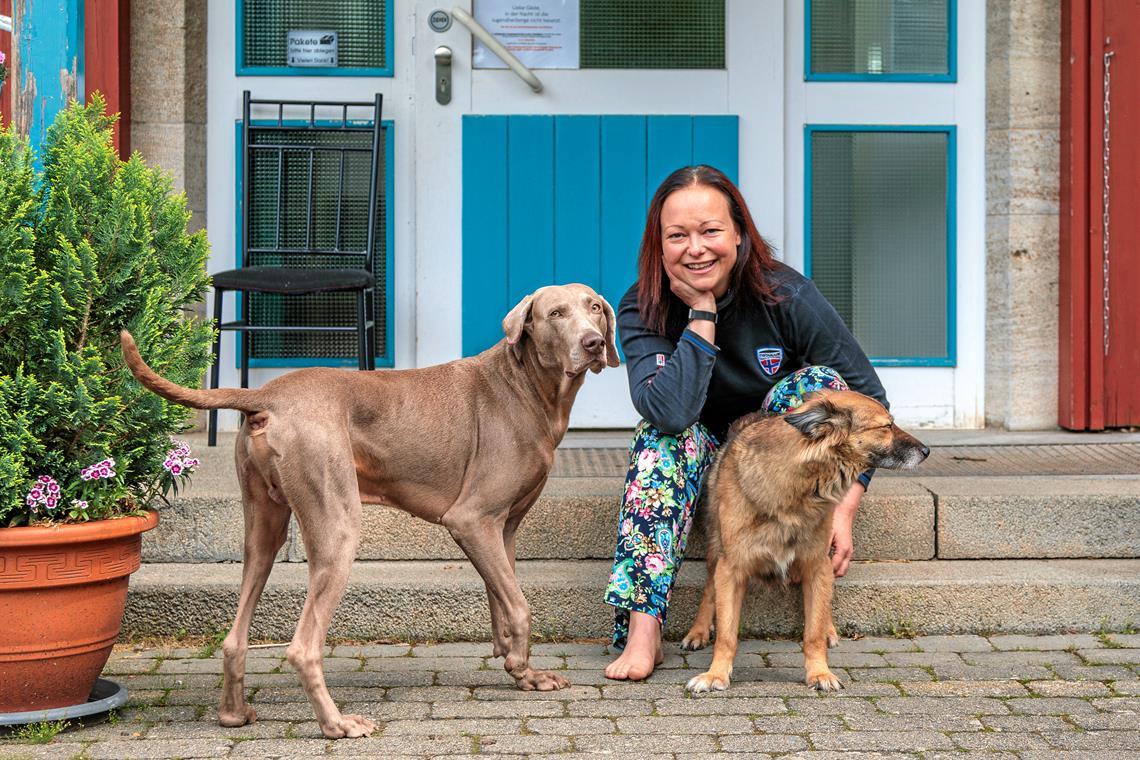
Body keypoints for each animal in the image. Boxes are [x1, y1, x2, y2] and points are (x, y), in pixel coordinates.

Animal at [121, 284, 620, 738]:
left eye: (595, 307)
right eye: (556, 313)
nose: (594, 342)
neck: (527, 385)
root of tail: (267, 396)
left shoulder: (505, 528)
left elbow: (502, 600)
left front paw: (523, 673)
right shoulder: (472, 520)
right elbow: (519, 605)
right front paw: (520, 666)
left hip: (263, 526)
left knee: (235, 632)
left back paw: (233, 713)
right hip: (338, 524)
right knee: (302, 646)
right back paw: (337, 724)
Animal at [679, 391, 930, 697]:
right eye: (886, 426)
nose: (927, 451)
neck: (800, 489)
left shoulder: (817, 564)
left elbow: (813, 633)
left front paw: (820, 673)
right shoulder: (731, 567)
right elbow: (727, 634)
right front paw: (715, 674)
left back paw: (829, 628)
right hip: (717, 547)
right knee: (708, 590)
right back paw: (698, 631)